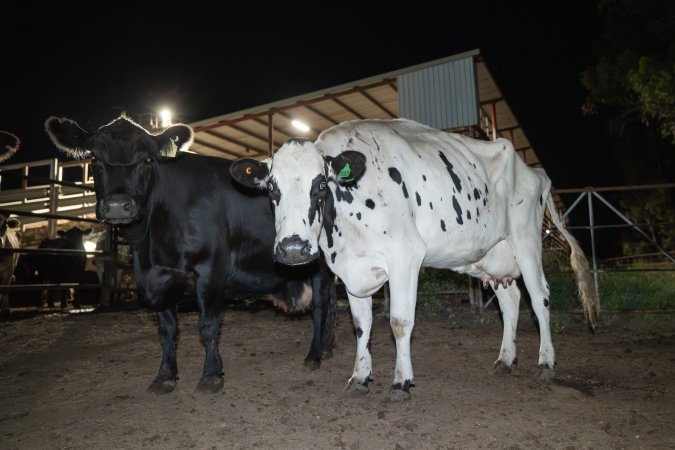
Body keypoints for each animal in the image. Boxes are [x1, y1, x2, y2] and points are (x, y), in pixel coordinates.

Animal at [43, 115, 336, 394]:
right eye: (94, 157)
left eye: (147, 159)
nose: (117, 205)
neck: (154, 240)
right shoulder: (152, 278)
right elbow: (167, 330)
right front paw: (165, 375)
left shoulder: (212, 269)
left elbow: (207, 325)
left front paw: (211, 374)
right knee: (331, 302)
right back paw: (328, 346)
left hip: (318, 262)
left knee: (320, 305)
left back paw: (315, 355)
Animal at [230, 118, 600, 400]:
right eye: (271, 189)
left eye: (320, 185)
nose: (293, 248)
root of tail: (534, 171)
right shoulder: (351, 269)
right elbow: (361, 325)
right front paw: (360, 377)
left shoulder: (405, 256)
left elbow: (399, 322)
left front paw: (401, 382)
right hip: (492, 256)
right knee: (511, 301)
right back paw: (506, 360)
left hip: (526, 242)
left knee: (540, 299)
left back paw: (546, 363)